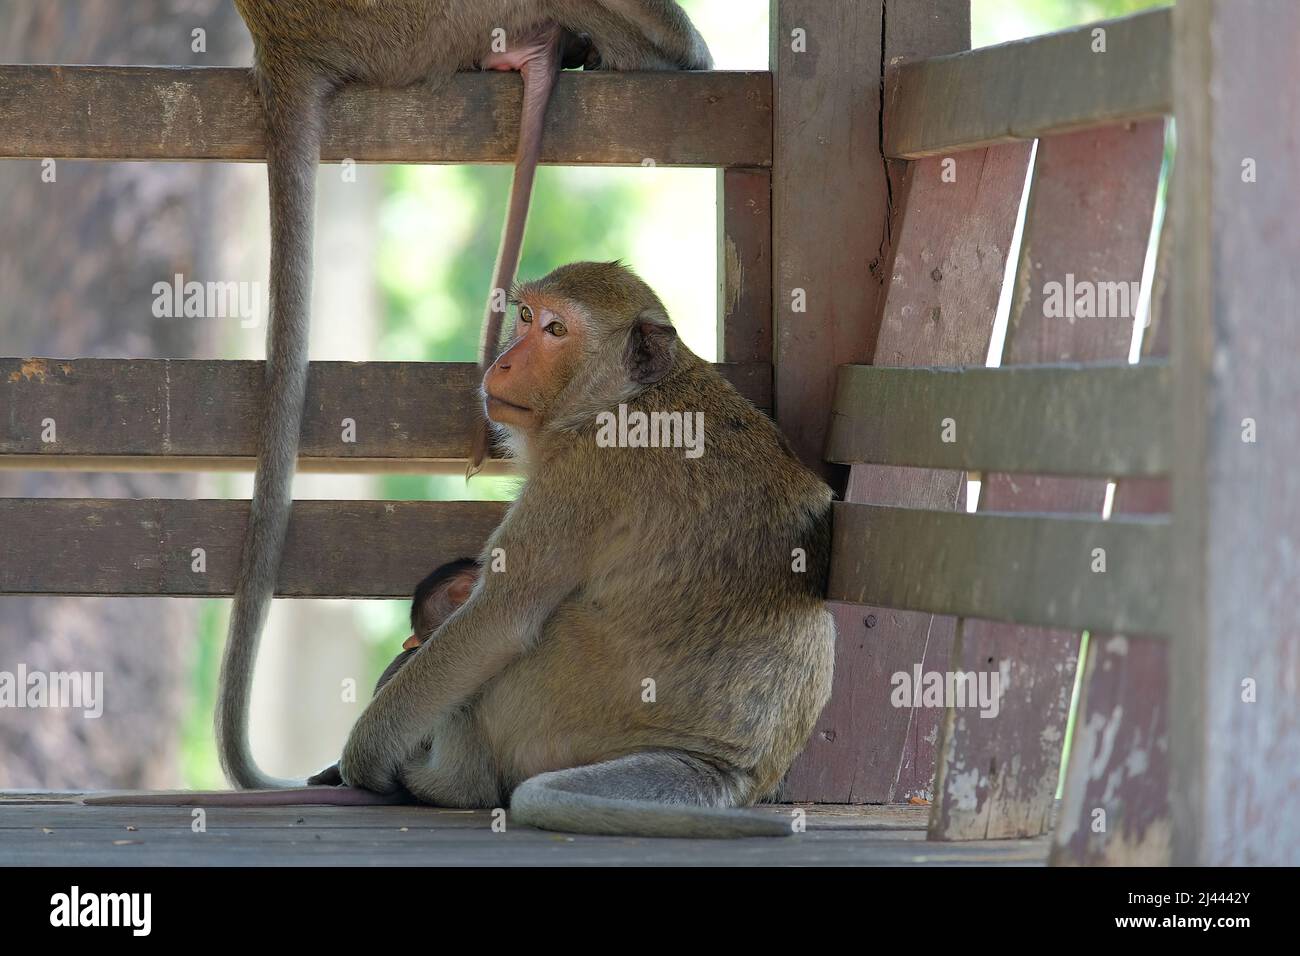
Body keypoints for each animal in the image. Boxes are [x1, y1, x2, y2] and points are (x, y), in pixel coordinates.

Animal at [338, 264, 832, 837]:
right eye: (525, 315)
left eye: (557, 330)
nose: (503, 363)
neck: (623, 397)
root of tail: (731, 767)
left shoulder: (581, 470)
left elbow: (496, 621)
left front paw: (364, 757)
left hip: (542, 723)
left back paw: (447, 783)